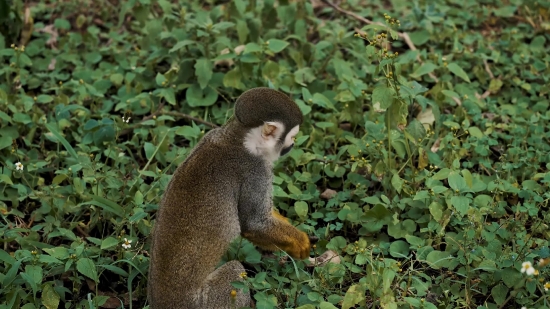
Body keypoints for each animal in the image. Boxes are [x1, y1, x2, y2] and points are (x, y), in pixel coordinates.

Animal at [149, 87, 312, 308]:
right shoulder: (256, 170)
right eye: (292, 136)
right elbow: (253, 224)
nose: (292, 144)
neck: (237, 139)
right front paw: (300, 242)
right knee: (235, 269)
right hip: (209, 302)